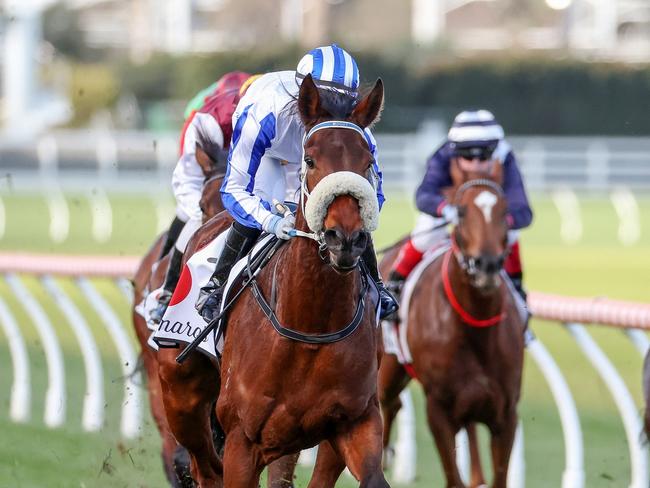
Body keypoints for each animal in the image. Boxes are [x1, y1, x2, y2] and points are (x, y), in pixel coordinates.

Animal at [157, 73, 390, 488]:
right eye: (310, 160)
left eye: (368, 163)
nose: (345, 239)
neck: (310, 325)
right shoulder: (243, 440)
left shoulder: (355, 422)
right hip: (180, 392)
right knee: (203, 465)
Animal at [378, 162, 524, 486]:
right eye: (462, 211)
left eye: (505, 209)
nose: (487, 265)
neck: (475, 325)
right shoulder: (439, 410)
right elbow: (453, 477)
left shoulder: (505, 414)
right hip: (386, 370)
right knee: (386, 403)